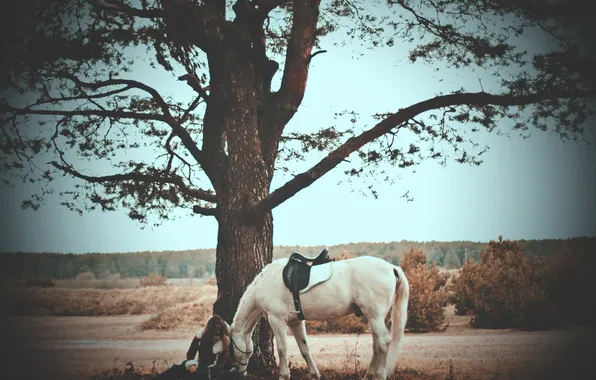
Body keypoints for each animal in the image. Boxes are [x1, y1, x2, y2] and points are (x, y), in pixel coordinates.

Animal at [224, 254, 410, 380]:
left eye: (232, 348)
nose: (239, 374)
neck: (264, 283)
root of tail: (391, 267)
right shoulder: (296, 322)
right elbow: (305, 349)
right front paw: (314, 374)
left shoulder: (277, 320)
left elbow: (282, 349)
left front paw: (284, 375)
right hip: (372, 317)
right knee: (376, 345)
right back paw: (368, 375)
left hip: (375, 316)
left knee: (383, 342)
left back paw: (379, 375)